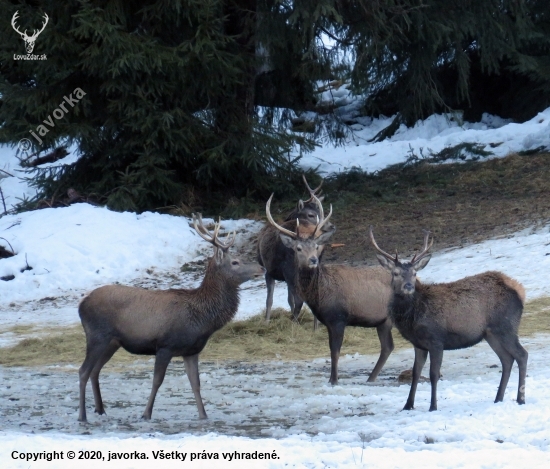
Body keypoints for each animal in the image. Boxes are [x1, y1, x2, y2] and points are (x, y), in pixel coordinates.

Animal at [77, 214, 266, 422]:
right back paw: (82, 416)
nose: (262, 267)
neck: (202, 319)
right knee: (83, 371)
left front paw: (203, 415)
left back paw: (100, 410)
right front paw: (146, 414)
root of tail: (81, 304)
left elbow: (195, 383)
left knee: (95, 370)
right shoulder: (164, 346)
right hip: (97, 335)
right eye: (235, 262)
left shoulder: (191, 350)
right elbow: (157, 381)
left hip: (113, 342)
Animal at [268, 196, 394, 382]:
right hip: (382, 320)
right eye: (298, 248)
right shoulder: (327, 321)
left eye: (316, 246)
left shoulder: (338, 318)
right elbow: (331, 350)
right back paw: (371, 378)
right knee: (388, 347)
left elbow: (335, 352)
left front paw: (334, 380)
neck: (321, 295)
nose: (313, 260)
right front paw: (331, 379)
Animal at [370, 227, 532, 410]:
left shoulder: (436, 340)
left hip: (506, 326)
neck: (412, 317)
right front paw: (408, 405)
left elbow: (434, 374)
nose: (409, 286)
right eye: (396, 273)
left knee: (522, 355)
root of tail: (520, 289)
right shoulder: (418, 344)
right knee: (507, 359)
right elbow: (415, 373)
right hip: (491, 334)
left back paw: (520, 399)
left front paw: (433, 406)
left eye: (414, 273)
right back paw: (498, 398)